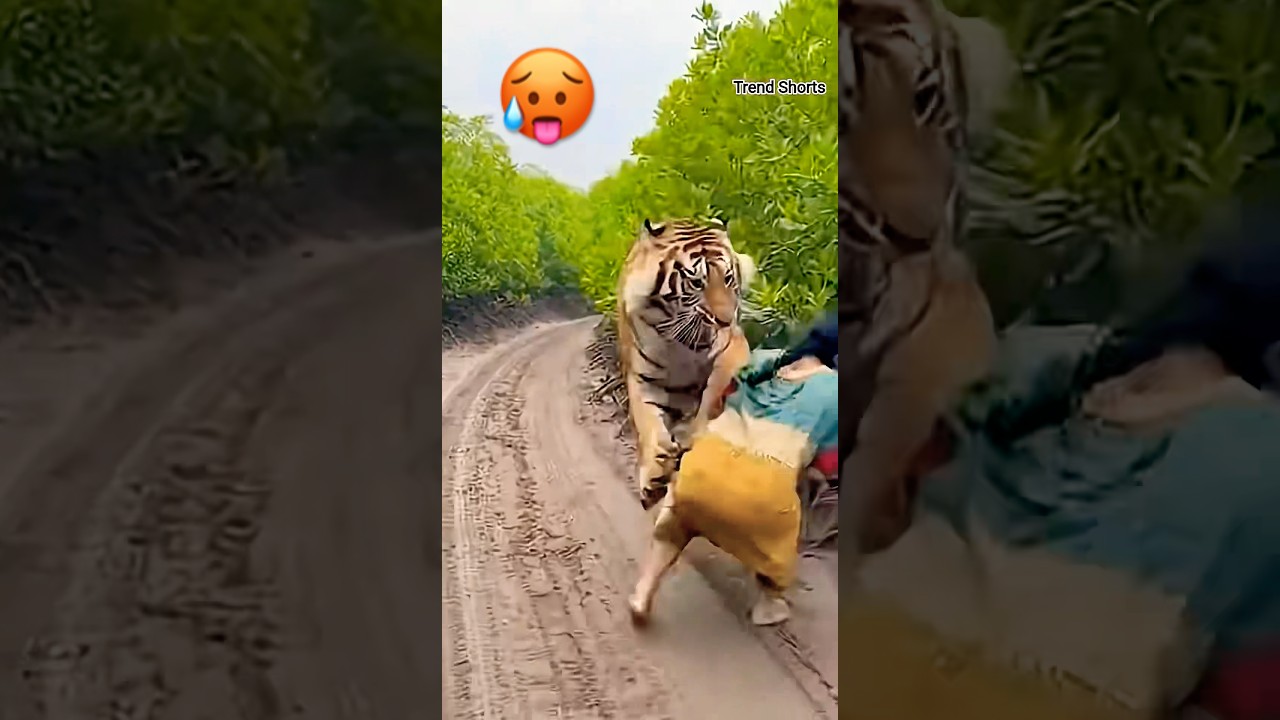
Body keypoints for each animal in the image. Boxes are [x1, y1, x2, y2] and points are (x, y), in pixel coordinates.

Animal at [615, 218, 756, 510]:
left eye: (728, 278)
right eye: (696, 282)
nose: (725, 320)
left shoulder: (732, 347)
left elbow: (715, 390)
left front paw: (696, 434)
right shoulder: (641, 378)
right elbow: (646, 420)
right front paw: (654, 473)